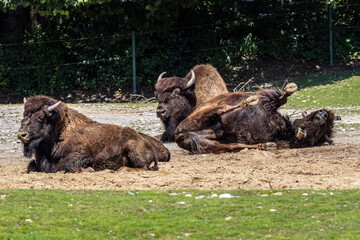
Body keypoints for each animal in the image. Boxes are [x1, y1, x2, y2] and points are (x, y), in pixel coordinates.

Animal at [18, 95, 172, 172]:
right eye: (24, 114)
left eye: (40, 117)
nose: (21, 134)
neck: (60, 132)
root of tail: (147, 143)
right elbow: (31, 166)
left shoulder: (81, 155)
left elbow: (62, 166)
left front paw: (89, 170)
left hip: (132, 150)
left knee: (141, 167)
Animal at [174, 83, 340, 154]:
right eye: (326, 123)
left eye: (322, 129)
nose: (323, 114)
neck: (284, 130)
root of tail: (178, 134)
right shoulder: (267, 104)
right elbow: (280, 98)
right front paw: (290, 88)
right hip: (202, 115)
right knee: (220, 110)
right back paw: (247, 102)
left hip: (211, 144)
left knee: (234, 145)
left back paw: (265, 145)